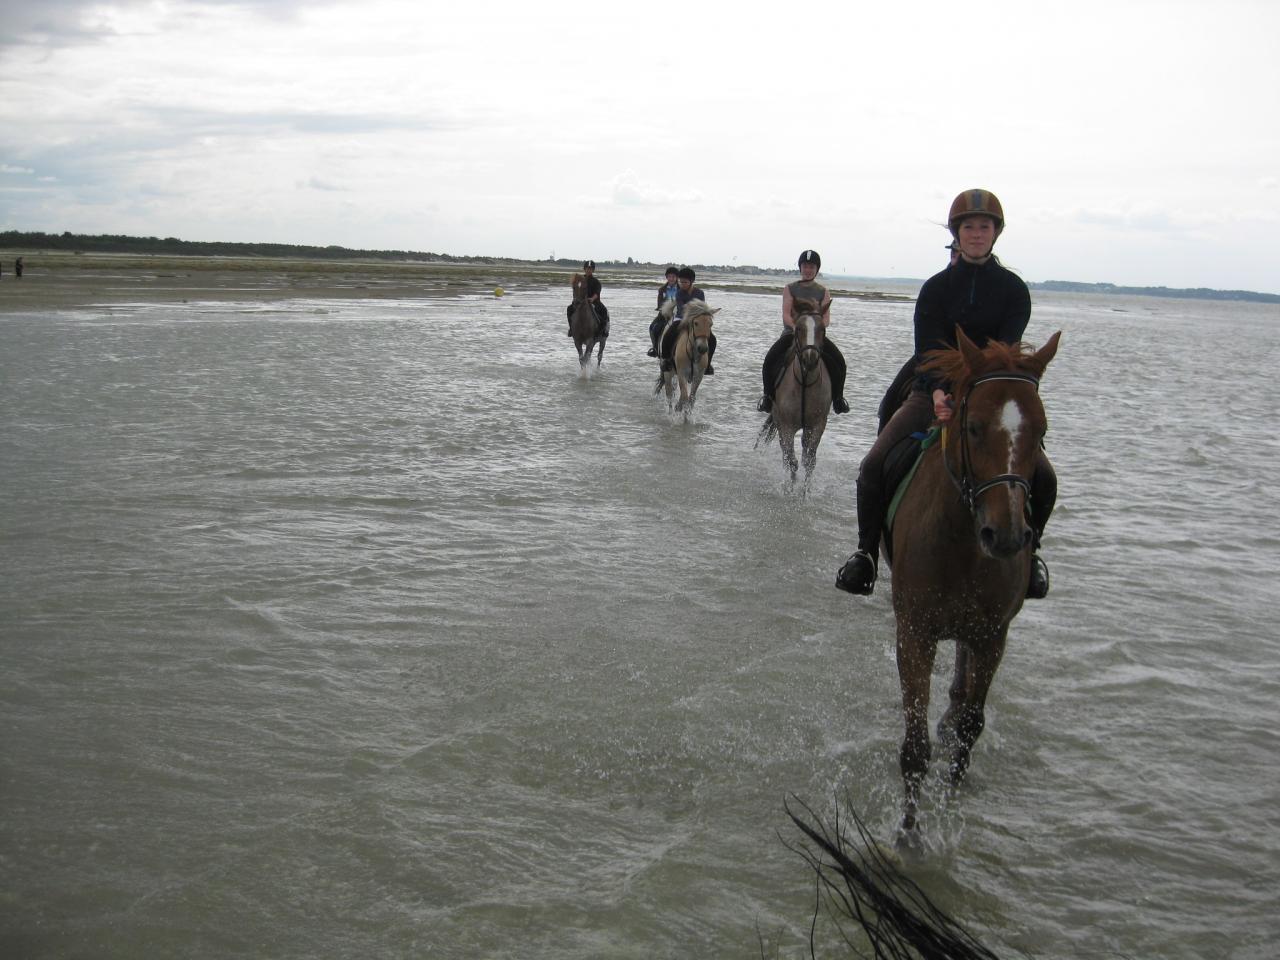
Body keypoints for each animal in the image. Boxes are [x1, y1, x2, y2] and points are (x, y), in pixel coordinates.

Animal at [885, 330, 1064, 834]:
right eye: (974, 427)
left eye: (1041, 431)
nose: (1005, 536)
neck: (961, 542)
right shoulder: (915, 632)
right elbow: (914, 745)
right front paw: (908, 832)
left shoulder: (992, 635)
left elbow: (970, 727)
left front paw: (949, 805)